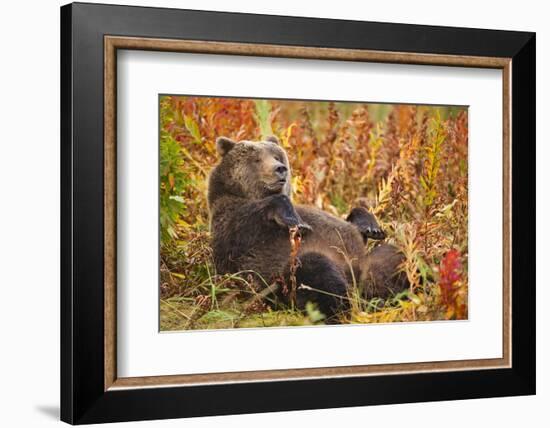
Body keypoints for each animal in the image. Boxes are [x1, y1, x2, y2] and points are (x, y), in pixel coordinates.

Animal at [208, 135, 410, 320]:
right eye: (257, 159)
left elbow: (354, 225)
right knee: (316, 271)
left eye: (277, 156)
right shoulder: (234, 224)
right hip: (286, 280)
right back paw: (362, 304)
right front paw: (297, 222)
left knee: (394, 256)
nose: (280, 169)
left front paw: (372, 227)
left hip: (371, 263)